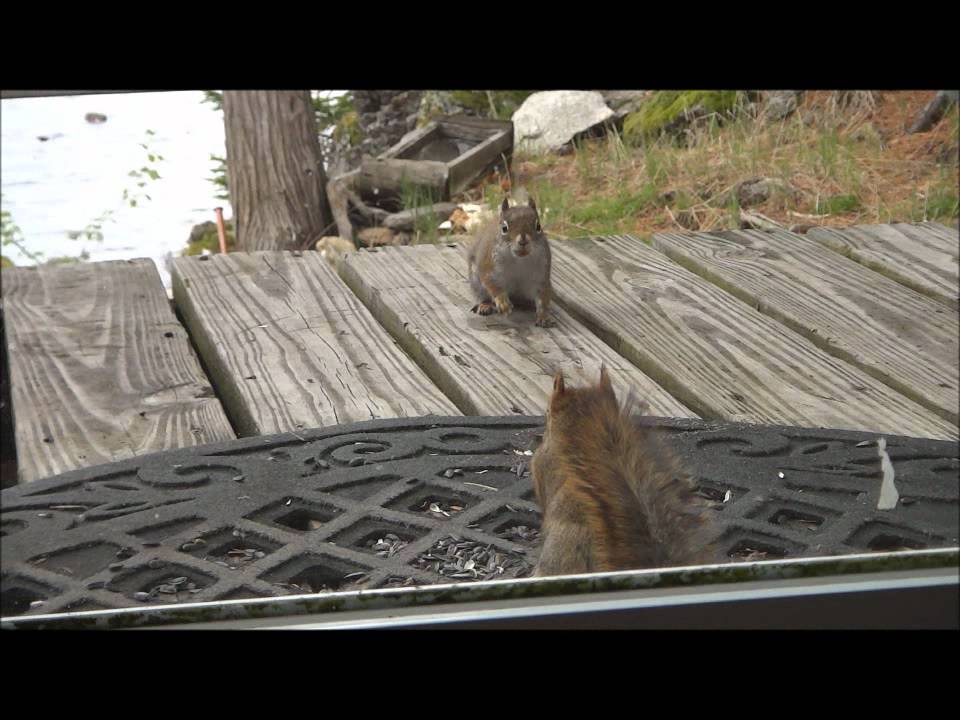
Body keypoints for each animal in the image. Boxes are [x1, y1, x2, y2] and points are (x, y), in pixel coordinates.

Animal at [468, 197, 552, 327]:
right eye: (504, 228)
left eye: (538, 226)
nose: (523, 241)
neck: (519, 260)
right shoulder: (489, 267)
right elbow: (492, 284)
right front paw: (503, 302)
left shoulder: (541, 276)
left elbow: (542, 296)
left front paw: (543, 315)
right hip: (476, 282)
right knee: (483, 295)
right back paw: (485, 305)